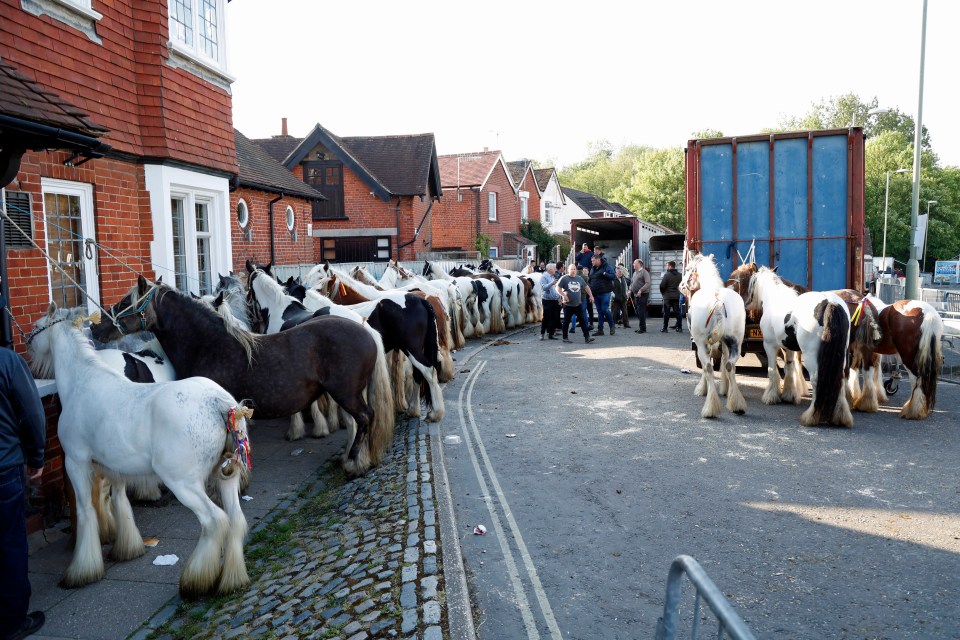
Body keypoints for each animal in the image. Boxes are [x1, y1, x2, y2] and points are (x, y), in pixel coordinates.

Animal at [31, 304, 251, 600]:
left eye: (36, 328)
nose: (28, 345)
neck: (82, 382)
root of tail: (221, 402)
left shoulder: (76, 463)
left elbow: (86, 511)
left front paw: (82, 571)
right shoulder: (113, 467)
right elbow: (119, 502)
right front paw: (127, 548)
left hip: (183, 483)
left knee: (215, 521)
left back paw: (195, 580)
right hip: (225, 476)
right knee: (236, 520)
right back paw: (231, 580)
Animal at [93, 276, 394, 476]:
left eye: (125, 301)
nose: (97, 328)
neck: (209, 344)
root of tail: (366, 331)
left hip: (347, 393)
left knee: (365, 418)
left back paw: (354, 462)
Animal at [680, 252, 748, 418]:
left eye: (689, 268)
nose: (681, 286)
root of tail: (718, 302)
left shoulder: (702, 343)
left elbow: (706, 366)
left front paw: (702, 388)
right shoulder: (723, 342)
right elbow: (723, 358)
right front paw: (725, 388)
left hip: (700, 342)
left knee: (709, 367)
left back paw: (710, 408)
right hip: (736, 342)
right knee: (730, 365)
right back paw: (737, 404)